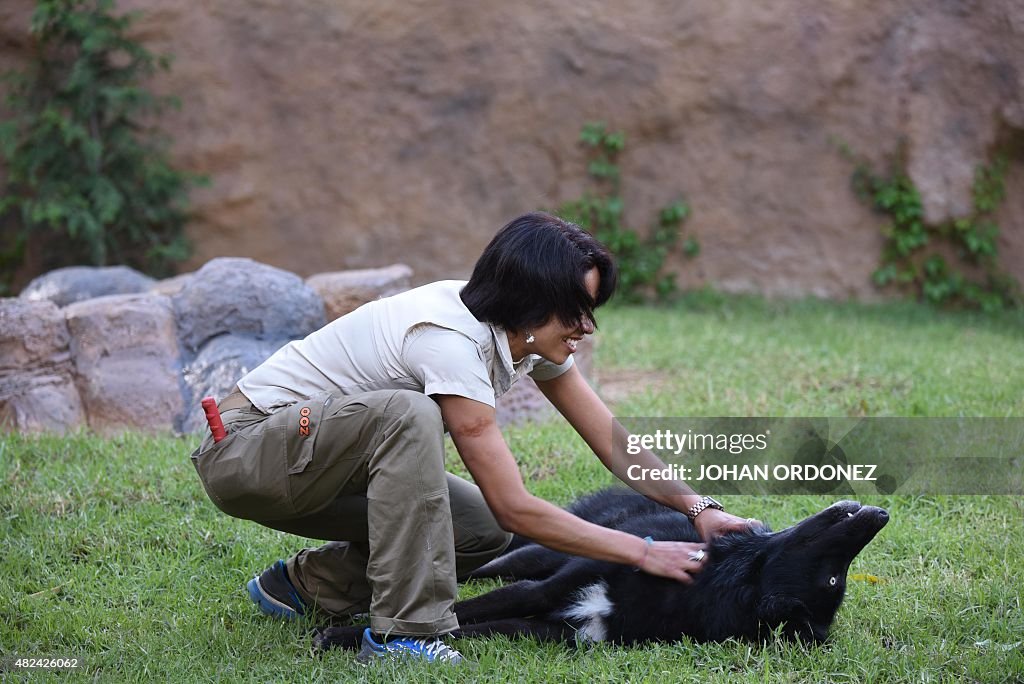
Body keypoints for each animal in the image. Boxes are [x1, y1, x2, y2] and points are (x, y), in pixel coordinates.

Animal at [313, 485, 888, 647]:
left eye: (834, 578)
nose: (882, 514)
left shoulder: (546, 630)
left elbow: (464, 629)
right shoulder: (545, 587)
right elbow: (465, 611)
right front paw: (343, 634)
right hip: (537, 550)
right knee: (473, 569)